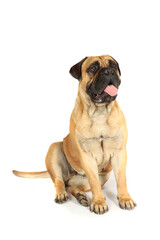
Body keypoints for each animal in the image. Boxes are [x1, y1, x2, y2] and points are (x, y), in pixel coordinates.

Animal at [12, 54, 136, 214]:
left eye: (113, 65)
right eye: (93, 68)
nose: (109, 72)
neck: (99, 112)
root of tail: (69, 176)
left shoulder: (119, 153)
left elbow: (121, 179)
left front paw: (125, 199)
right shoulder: (87, 157)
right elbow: (94, 182)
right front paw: (98, 202)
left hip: (101, 176)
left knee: (73, 186)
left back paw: (82, 197)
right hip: (54, 149)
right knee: (59, 182)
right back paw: (62, 194)